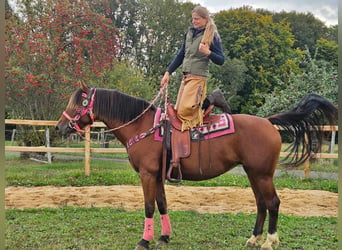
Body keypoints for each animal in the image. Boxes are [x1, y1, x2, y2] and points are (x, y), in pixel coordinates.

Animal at [56, 81, 336, 249]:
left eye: (80, 103)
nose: (60, 126)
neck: (142, 127)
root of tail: (268, 122)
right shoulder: (158, 176)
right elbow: (162, 204)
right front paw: (165, 236)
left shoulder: (147, 175)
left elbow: (148, 207)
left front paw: (144, 241)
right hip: (254, 173)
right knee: (261, 204)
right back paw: (253, 238)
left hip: (263, 174)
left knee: (273, 203)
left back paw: (269, 241)